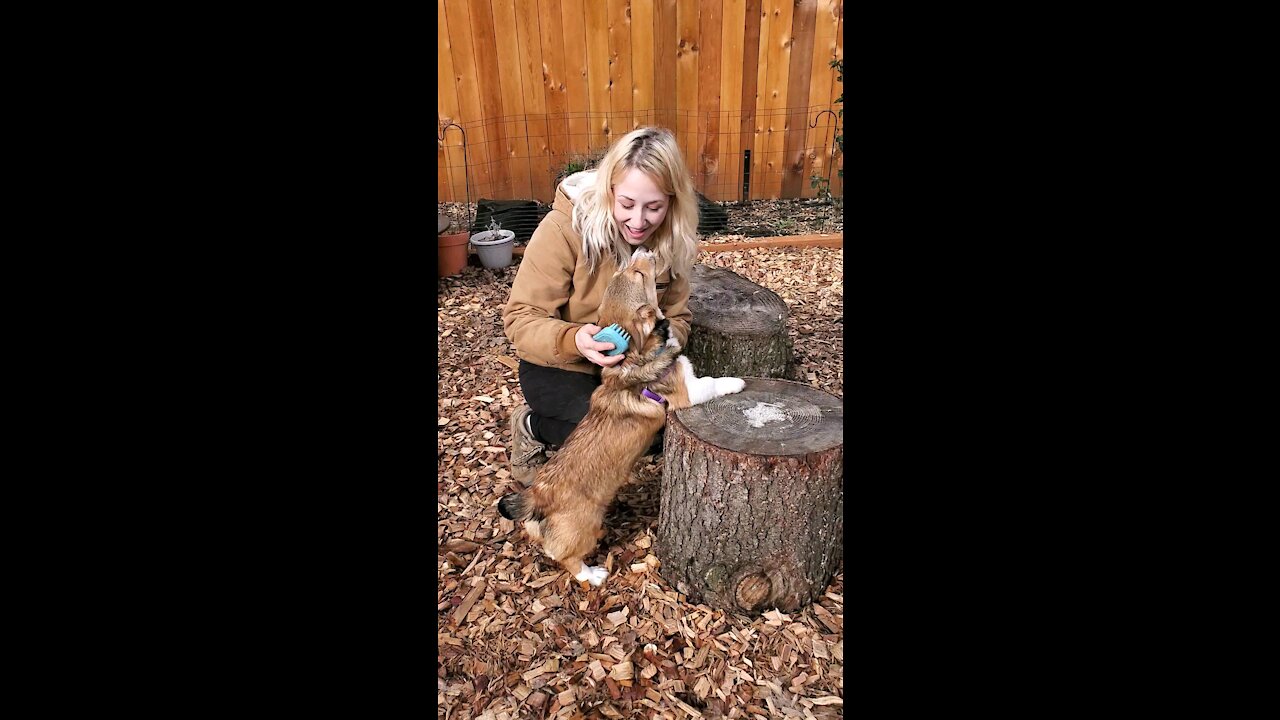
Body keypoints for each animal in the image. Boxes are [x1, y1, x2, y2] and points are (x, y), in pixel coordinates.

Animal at [494, 249, 747, 586]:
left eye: (626, 272)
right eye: (638, 275)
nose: (643, 250)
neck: (636, 357)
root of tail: (537, 496)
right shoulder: (687, 392)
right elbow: (712, 383)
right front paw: (737, 382)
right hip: (585, 529)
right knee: (565, 558)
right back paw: (593, 574)